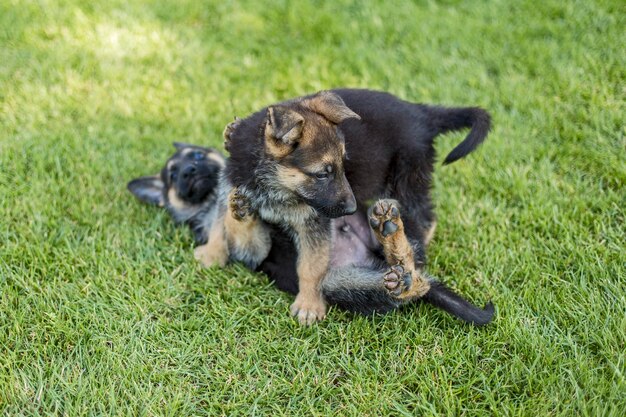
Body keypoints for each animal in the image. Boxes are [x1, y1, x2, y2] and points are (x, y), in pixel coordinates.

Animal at [195, 88, 492, 324]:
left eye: (342, 165)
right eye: (322, 174)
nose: (351, 209)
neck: (269, 184)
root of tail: (421, 113)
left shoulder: (313, 222)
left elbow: (310, 266)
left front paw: (308, 305)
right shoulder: (233, 194)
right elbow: (223, 223)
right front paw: (213, 252)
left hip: (406, 177)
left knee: (422, 231)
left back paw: (397, 235)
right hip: (346, 281)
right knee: (412, 281)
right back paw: (398, 264)